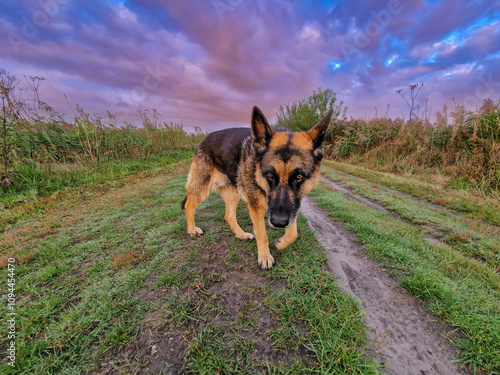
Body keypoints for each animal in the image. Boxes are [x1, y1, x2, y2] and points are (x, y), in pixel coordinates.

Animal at [183, 107, 332, 268]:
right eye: (270, 174)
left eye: (299, 176)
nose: (278, 223)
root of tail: (205, 138)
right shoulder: (256, 207)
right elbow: (262, 234)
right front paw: (265, 257)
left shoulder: (292, 207)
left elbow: (293, 233)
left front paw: (281, 243)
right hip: (201, 188)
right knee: (188, 206)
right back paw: (192, 230)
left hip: (233, 194)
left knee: (229, 216)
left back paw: (242, 234)